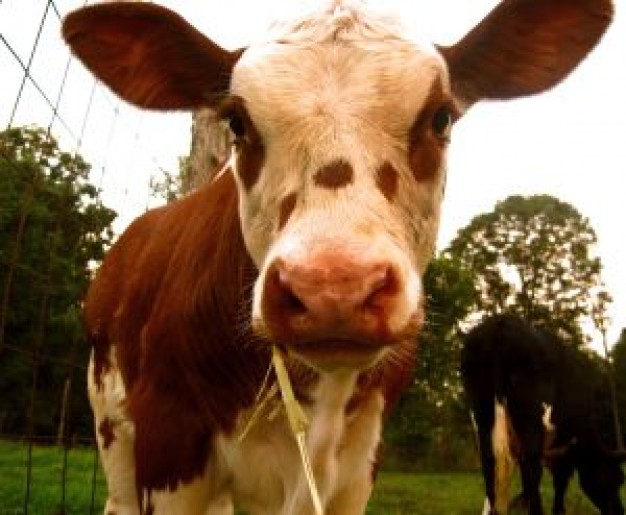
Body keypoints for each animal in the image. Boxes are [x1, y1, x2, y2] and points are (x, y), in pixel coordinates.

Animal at [460, 314, 620, 515]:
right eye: (616, 479)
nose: (618, 510)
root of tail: (500, 323)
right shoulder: (564, 444)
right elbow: (560, 480)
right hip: (532, 417)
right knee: (532, 468)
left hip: (482, 413)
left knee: (489, 464)